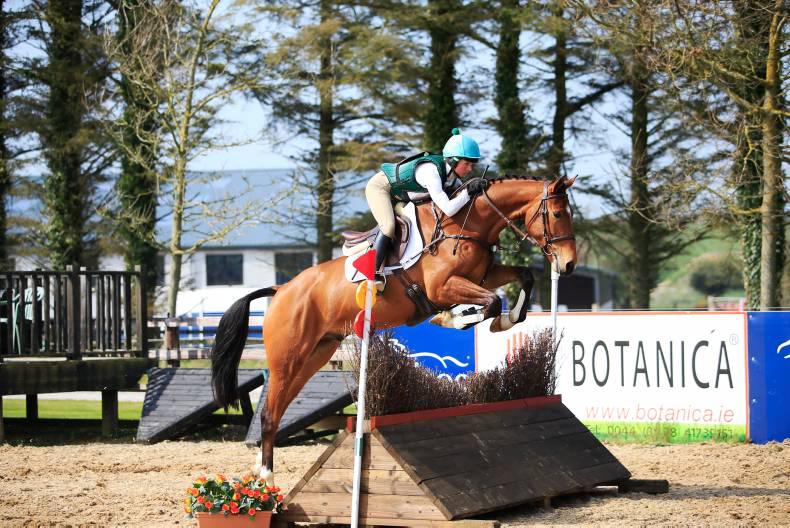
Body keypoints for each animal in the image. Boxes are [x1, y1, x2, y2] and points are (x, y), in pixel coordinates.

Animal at [211, 174, 578, 483]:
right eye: (558, 213)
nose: (569, 264)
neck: (466, 223)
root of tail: (282, 290)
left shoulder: (483, 276)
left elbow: (521, 279)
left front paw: (505, 321)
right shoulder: (443, 288)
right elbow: (489, 303)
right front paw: (452, 319)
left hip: (314, 356)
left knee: (277, 411)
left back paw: (261, 472)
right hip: (286, 359)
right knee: (269, 414)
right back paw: (266, 479)